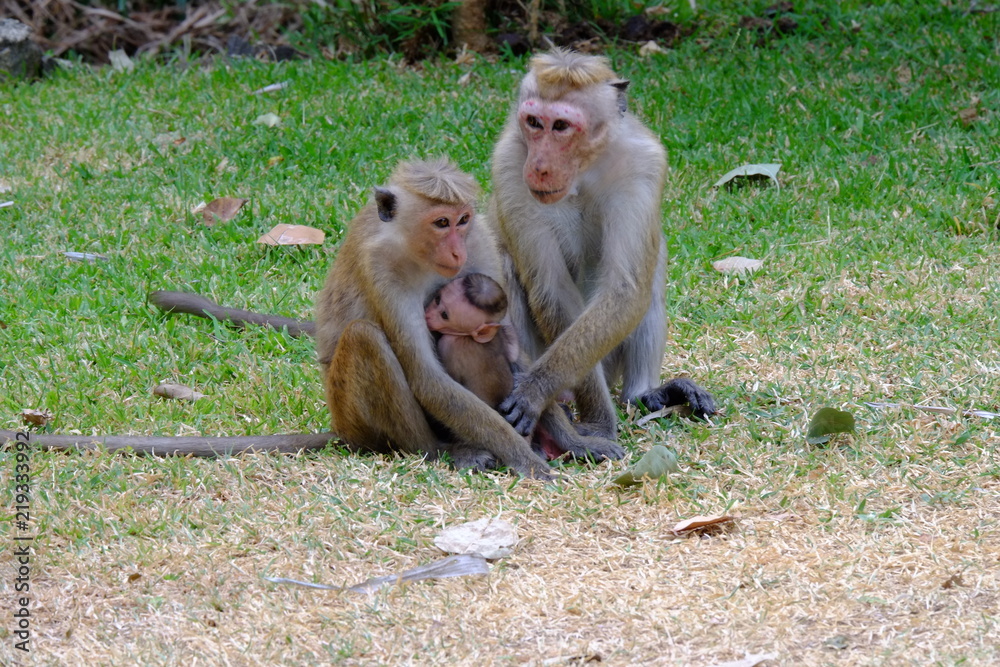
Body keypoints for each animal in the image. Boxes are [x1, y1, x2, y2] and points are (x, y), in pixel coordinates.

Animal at [489, 48, 717, 442]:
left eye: (560, 126)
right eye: (533, 122)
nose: (539, 165)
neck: (583, 169)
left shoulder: (643, 165)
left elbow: (625, 289)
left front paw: (537, 390)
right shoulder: (510, 165)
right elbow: (551, 289)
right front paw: (594, 419)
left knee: (650, 266)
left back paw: (644, 394)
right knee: (504, 261)